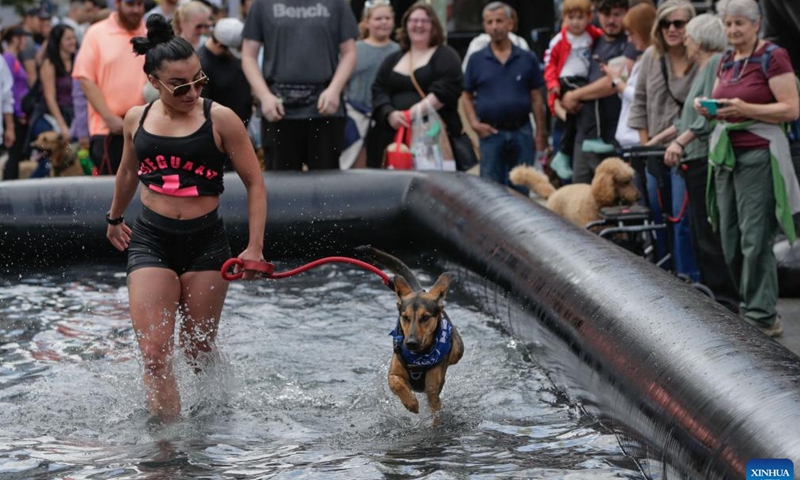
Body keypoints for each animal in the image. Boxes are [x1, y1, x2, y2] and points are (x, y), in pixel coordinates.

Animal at [356, 246, 462, 422]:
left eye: (425, 317)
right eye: (405, 317)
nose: (411, 343)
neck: (418, 358)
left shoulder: (433, 391)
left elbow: (435, 410)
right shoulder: (393, 372)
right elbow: (396, 381)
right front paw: (411, 402)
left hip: (458, 351)